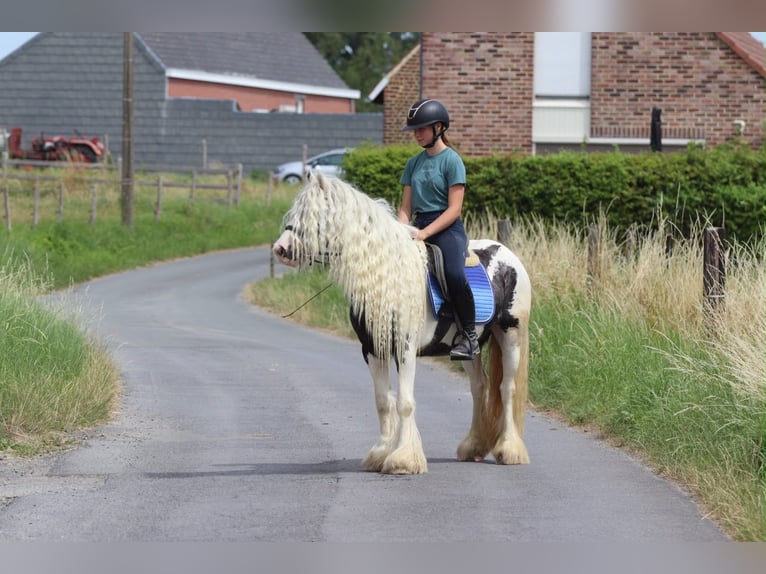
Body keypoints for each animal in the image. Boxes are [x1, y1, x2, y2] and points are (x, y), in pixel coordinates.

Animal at [272, 172, 532, 475]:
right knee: (479, 387)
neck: (386, 275)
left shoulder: (405, 349)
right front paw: (380, 454)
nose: (281, 249)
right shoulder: (372, 350)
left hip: (510, 334)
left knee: (507, 389)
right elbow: (384, 402)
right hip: (472, 348)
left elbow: (405, 403)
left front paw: (403, 459)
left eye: (314, 214)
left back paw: (509, 450)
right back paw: (473, 447)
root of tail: (508, 256)